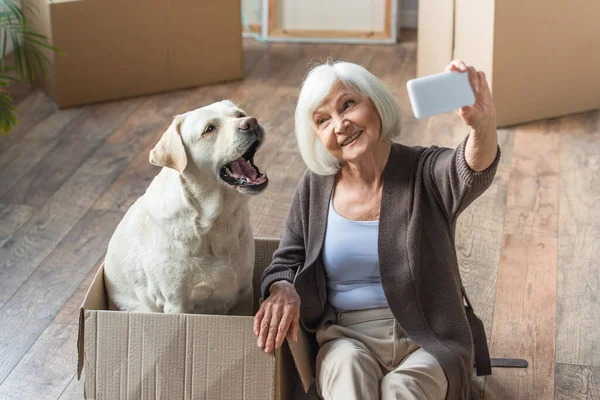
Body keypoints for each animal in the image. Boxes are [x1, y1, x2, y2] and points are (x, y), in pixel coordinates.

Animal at [104, 100, 268, 316]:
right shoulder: (176, 305)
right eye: (209, 129)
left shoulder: (244, 294)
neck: (215, 222)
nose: (251, 122)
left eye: (240, 114)